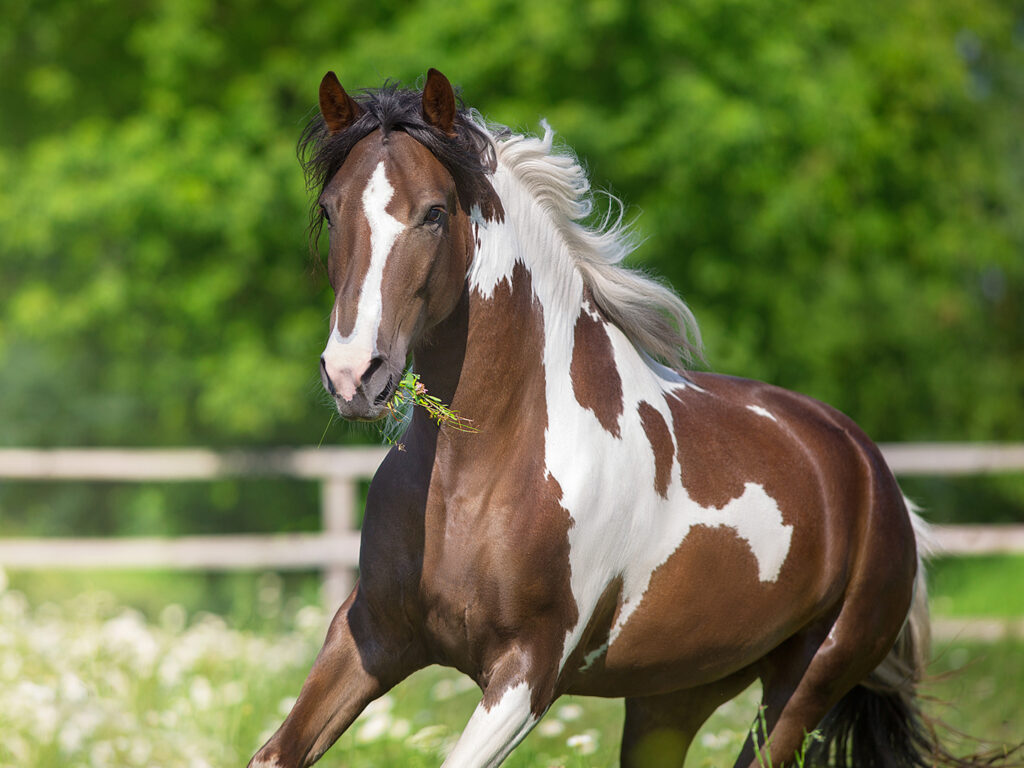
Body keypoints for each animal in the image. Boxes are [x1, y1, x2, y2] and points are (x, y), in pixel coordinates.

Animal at [249, 69, 983, 768]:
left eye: (433, 213)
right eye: (330, 211)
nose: (354, 375)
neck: (481, 473)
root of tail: (872, 473)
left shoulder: (528, 674)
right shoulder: (372, 635)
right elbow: (275, 753)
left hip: (804, 688)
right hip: (673, 697)